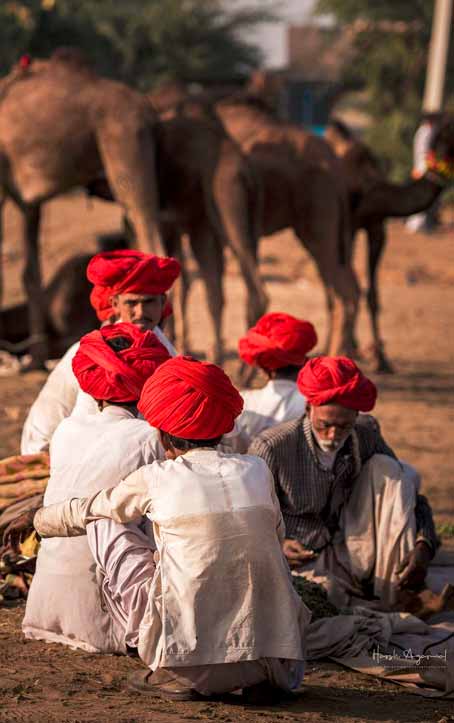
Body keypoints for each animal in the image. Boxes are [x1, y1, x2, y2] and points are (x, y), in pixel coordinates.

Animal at [0, 50, 164, 367]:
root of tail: (148, 109)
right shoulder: (27, 200)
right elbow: (30, 272)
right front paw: (36, 359)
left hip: (124, 142)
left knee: (150, 234)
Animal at [325, 118, 454, 371]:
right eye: (448, 135)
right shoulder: (350, 225)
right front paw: (351, 351)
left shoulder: (377, 226)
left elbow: (372, 294)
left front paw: (382, 360)